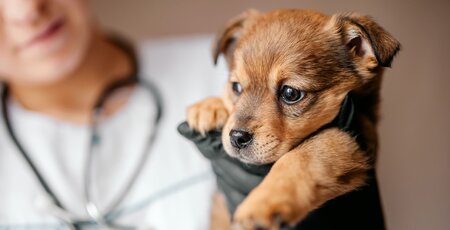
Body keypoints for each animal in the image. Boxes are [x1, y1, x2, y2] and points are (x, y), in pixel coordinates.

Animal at [188, 9, 400, 230]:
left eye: (290, 93)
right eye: (236, 87)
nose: (237, 137)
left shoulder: (348, 138)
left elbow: (300, 157)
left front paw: (263, 202)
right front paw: (209, 107)